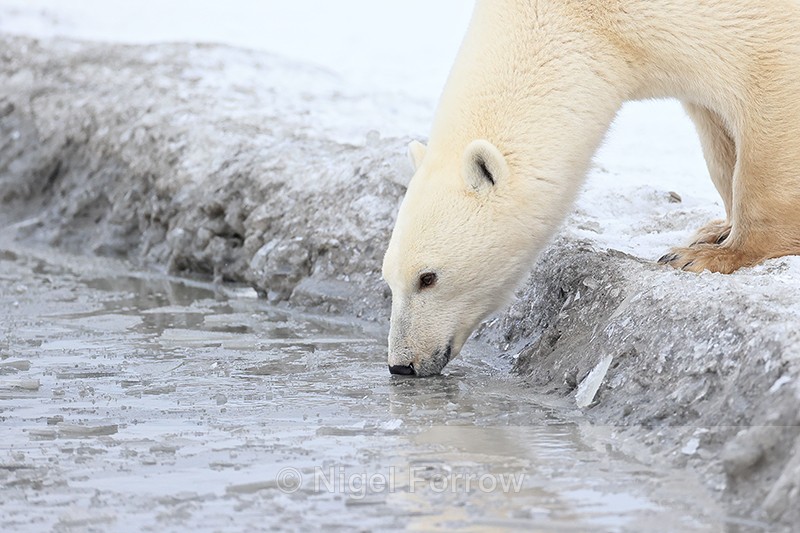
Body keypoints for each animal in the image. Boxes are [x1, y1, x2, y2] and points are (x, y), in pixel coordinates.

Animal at [381, 0, 800, 376]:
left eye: (428, 277)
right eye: (389, 279)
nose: (402, 365)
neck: (585, 18)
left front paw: (708, 255)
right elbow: (716, 134)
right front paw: (713, 232)